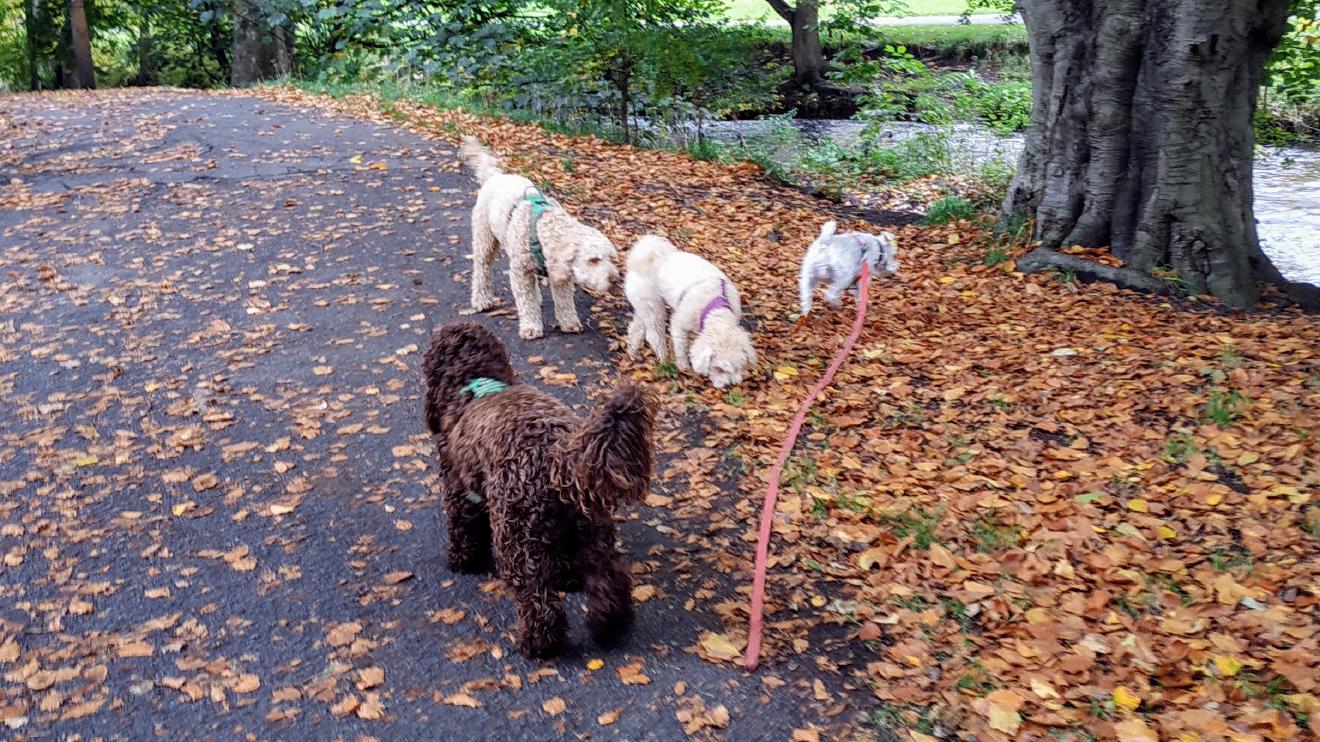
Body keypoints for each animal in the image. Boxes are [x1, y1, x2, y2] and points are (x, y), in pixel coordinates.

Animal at [422, 320, 654, 654]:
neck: (478, 384)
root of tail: (559, 451)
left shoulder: (459, 488)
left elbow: (462, 528)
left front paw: (461, 561)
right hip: (590, 528)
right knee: (609, 578)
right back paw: (608, 624)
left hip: (516, 532)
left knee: (537, 597)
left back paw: (538, 643)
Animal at [459, 137, 617, 340]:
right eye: (594, 260)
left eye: (611, 259)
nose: (614, 279)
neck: (545, 228)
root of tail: (495, 176)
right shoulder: (520, 271)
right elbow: (526, 301)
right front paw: (531, 327)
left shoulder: (560, 273)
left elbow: (564, 301)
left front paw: (569, 322)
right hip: (484, 239)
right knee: (482, 269)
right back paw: (482, 300)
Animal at [620, 235, 755, 388]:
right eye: (719, 369)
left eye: (738, 367)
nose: (730, 385)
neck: (715, 304)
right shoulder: (679, 325)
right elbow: (681, 347)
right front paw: (684, 366)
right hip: (654, 306)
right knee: (654, 335)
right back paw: (664, 359)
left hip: (645, 306)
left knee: (636, 329)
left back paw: (633, 353)